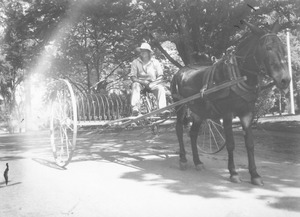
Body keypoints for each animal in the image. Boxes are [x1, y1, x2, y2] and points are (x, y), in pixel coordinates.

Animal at [171, 20, 290, 186]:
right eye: (268, 48)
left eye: (283, 49)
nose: (285, 80)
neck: (239, 74)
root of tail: (179, 71)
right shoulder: (227, 113)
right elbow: (230, 143)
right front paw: (233, 172)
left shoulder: (247, 113)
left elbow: (250, 144)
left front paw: (255, 175)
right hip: (180, 106)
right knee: (179, 129)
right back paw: (183, 159)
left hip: (199, 111)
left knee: (193, 134)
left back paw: (197, 162)